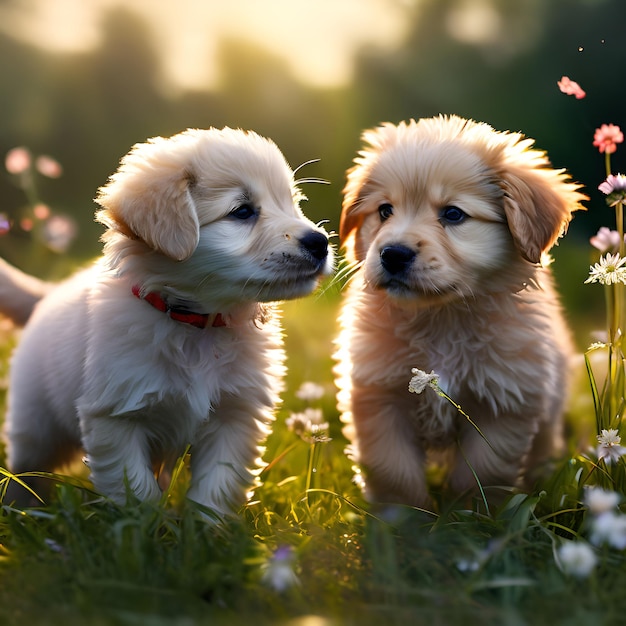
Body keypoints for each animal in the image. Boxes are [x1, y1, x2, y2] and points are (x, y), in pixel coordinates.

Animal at [1, 127, 332, 512]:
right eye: (242, 211)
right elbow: (136, 489)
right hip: (35, 421)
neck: (197, 322)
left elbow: (216, 487)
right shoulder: (116, 417)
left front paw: (207, 525)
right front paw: (146, 522)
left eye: (293, 203)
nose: (321, 242)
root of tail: (48, 294)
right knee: (26, 469)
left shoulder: (235, 416)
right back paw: (22, 508)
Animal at [334, 116, 584, 508]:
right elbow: (393, 470)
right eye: (385, 211)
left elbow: (481, 474)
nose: (392, 254)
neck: (441, 317)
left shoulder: (504, 403)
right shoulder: (379, 397)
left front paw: (470, 517)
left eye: (453, 214)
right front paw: (402, 517)